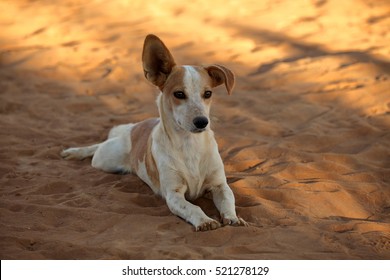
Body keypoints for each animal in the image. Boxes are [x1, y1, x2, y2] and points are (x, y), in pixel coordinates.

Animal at [62, 34, 248, 232]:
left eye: (208, 93)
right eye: (179, 94)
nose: (202, 122)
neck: (190, 144)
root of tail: (136, 126)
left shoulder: (219, 185)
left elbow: (228, 200)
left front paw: (233, 218)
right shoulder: (174, 194)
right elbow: (193, 207)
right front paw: (205, 220)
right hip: (104, 160)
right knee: (97, 148)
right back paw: (76, 152)